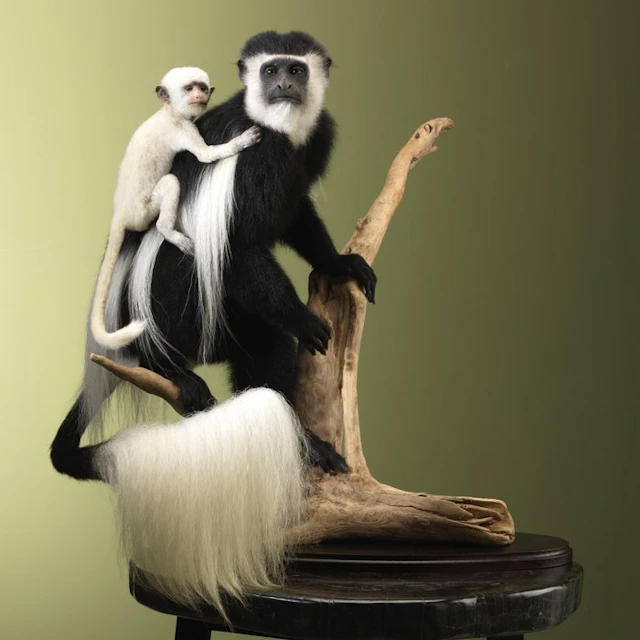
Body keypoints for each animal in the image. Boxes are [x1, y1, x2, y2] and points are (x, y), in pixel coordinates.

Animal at [91, 67, 261, 351]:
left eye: (202, 87)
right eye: (189, 88)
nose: (200, 96)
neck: (168, 113)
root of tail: (121, 214)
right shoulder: (183, 128)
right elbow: (206, 156)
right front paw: (243, 140)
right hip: (144, 210)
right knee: (171, 185)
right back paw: (169, 233)